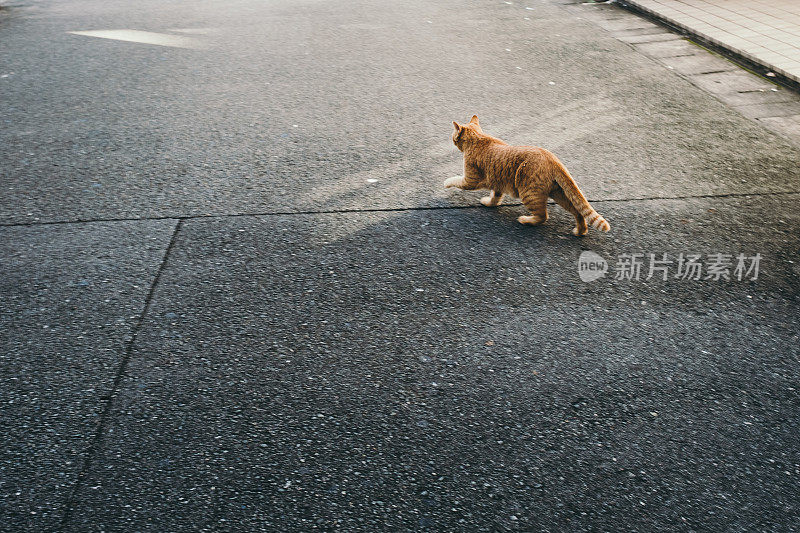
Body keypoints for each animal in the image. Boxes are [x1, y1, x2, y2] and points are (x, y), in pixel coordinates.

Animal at [446, 115, 608, 236]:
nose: (451, 139)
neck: (478, 137)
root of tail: (551, 157)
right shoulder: (497, 182)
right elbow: (495, 197)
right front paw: (490, 203)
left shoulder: (470, 180)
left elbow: (455, 180)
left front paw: (446, 183)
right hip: (559, 194)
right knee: (578, 212)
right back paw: (580, 231)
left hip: (529, 193)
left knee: (543, 216)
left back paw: (526, 220)